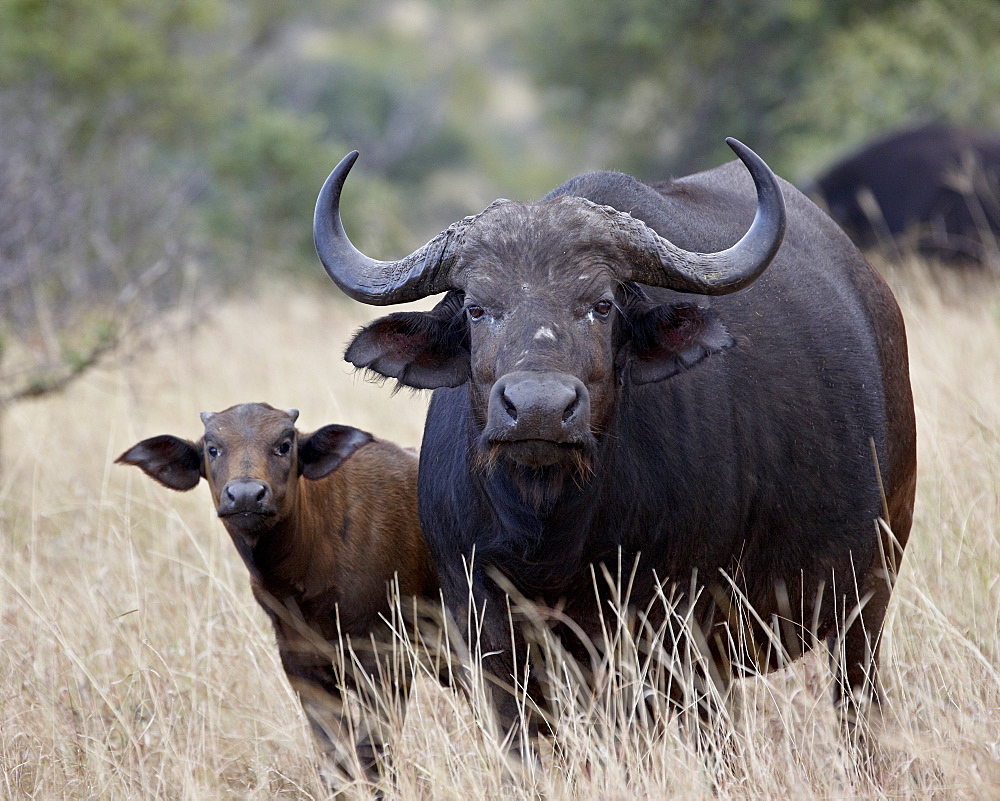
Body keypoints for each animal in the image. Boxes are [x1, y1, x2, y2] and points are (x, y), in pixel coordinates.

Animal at [115, 404, 436, 784]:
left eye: (284, 445)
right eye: (213, 448)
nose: (245, 495)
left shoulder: (386, 663)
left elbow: (372, 757)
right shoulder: (302, 668)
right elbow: (334, 760)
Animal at [316, 141, 916, 748]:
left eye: (601, 305)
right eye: (476, 308)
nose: (538, 408)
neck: (549, 533)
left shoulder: (672, 629)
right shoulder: (489, 637)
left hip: (868, 593)